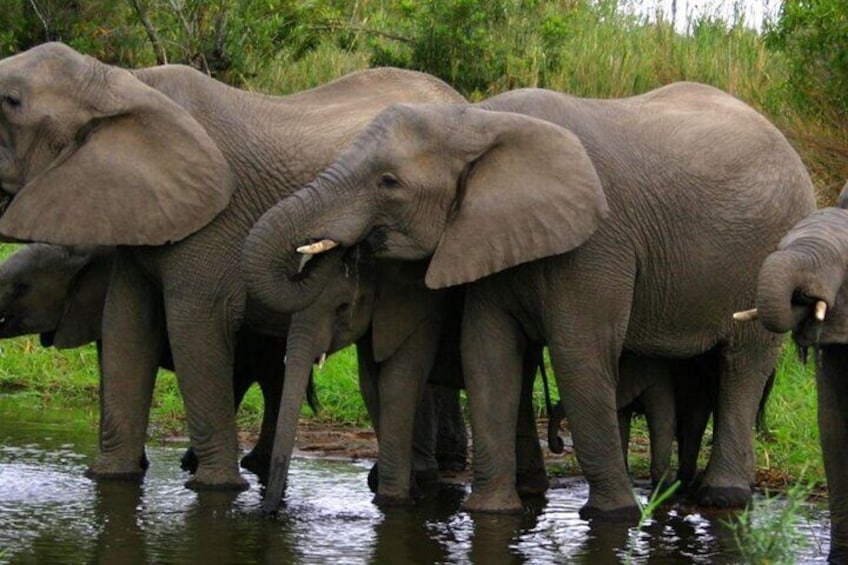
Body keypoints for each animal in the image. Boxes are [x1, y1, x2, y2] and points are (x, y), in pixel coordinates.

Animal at [0, 42, 464, 490]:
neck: (123, 82)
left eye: (10, 101)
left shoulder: (211, 223)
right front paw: (110, 477)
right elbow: (126, 327)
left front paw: (216, 488)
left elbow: (194, 326)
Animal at [241, 82, 815, 518]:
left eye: (388, 182)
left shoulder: (597, 241)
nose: (272, 514)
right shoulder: (487, 233)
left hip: (768, 253)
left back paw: (722, 497)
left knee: (743, 365)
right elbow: (488, 354)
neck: (479, 121)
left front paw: (611, 516)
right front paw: (492, 512)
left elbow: (579, 355)